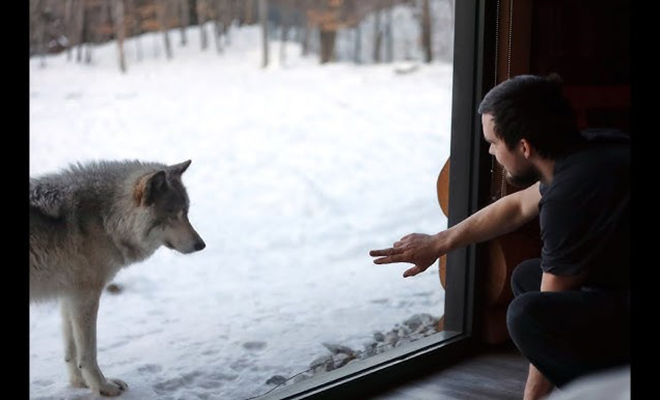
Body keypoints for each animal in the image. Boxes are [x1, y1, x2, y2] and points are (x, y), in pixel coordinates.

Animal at [30, 159, 206, 396]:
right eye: (172, 215)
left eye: (186, 212)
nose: (201, 245)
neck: (105, 220)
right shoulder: (86, 296)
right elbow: (88, 352)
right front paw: (103, 387)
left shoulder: (69, 295)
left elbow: (71, 351)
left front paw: (80, 384)